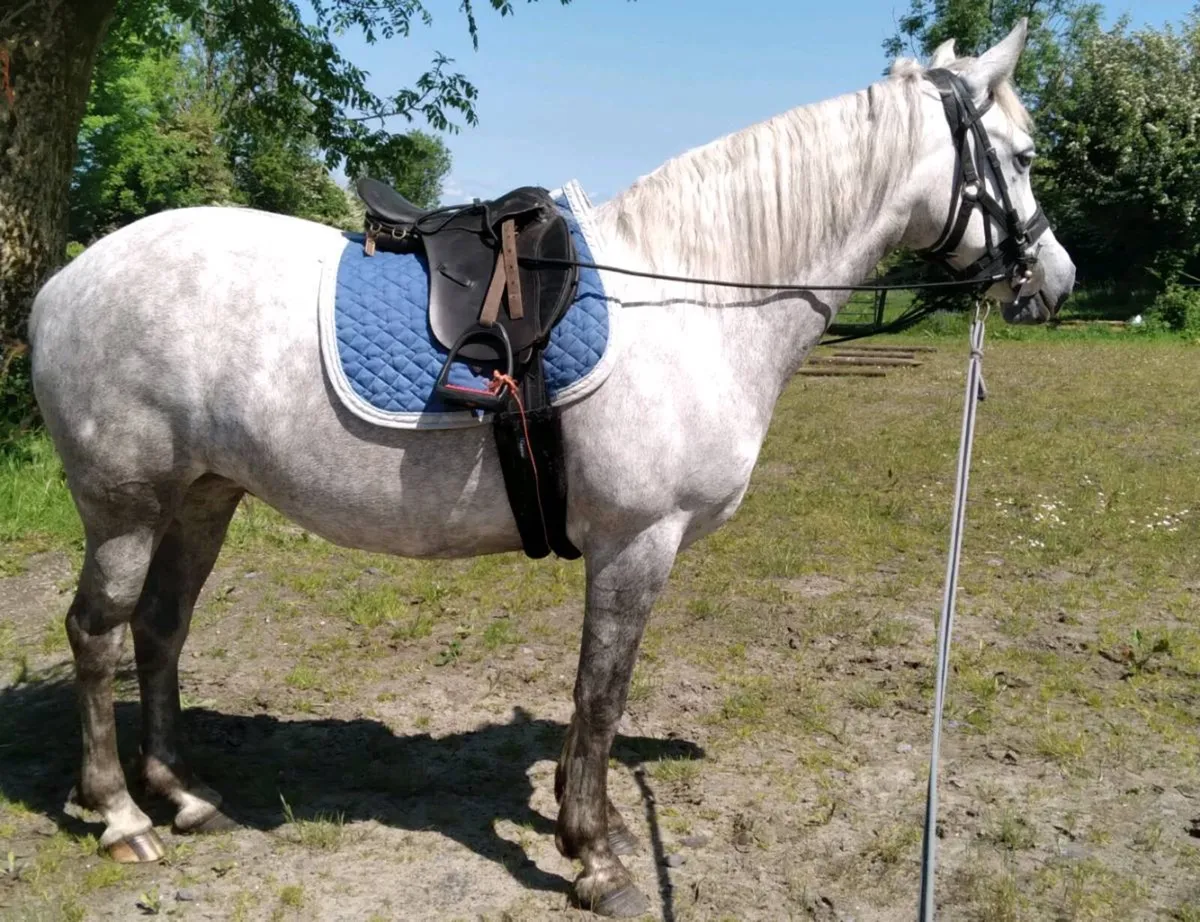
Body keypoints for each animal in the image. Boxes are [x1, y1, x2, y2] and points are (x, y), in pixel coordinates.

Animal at [29, 20, 1074, 917]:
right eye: (1022, 157)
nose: (1054, 281)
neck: (694, 298)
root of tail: (63, 284)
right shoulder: (635, 543)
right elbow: (601, 695)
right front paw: (596, 856)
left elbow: (594, 699)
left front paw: (587, 829)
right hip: (125, 507)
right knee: (98, 634)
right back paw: (119, 813)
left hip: (202, 498)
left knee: (161, 629)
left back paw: (184, 796)